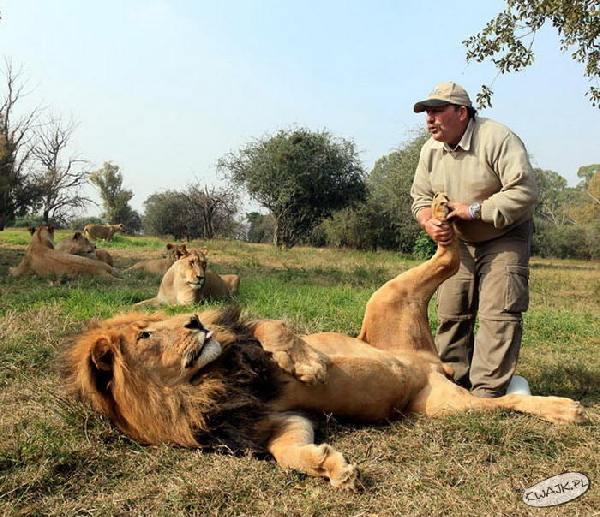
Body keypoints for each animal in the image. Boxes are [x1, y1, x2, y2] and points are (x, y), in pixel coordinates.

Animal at [63, 194, 584, 488]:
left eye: (157, 320)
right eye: (148, 334)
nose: (194, 320)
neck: (200, 386)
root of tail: (430, 364)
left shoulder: (248, 339)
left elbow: (273, 330)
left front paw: (311, 366)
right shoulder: (275, 422)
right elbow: (287, 452)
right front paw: (333, 468)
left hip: (388, 297)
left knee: (448, 255)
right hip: (441, 405)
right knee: (500, 401)